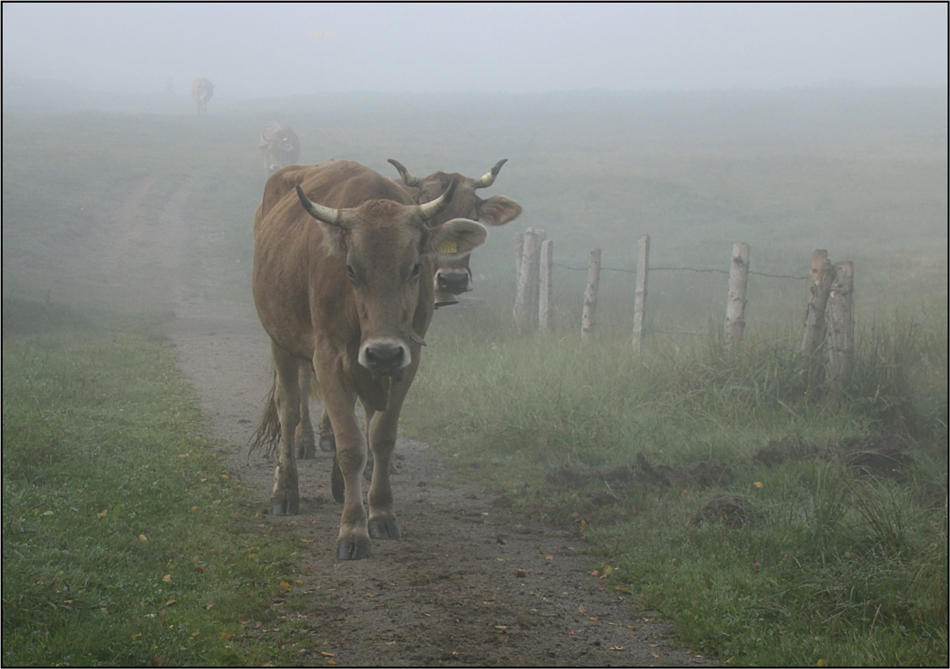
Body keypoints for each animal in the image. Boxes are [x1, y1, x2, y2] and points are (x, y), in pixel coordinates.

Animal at [249, 162, 488, 560]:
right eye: (350, 269)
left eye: (414, 268)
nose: (383, 351)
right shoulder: (328, 358)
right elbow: (350, 446)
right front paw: (353, 530)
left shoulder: (407, 359)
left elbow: (380, 438)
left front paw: (381, 512)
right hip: (280, 341)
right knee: (288, 410)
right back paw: (285, 490)